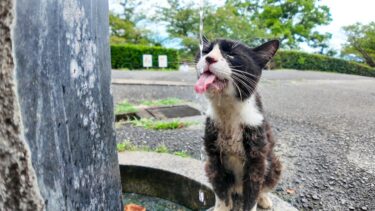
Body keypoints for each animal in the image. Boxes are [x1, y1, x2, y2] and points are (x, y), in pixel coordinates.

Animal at [197, 38, 282, 211]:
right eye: (205, 51)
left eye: (232, 54)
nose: (209, 58)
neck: (229, 110)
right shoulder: (214, 157)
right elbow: (221, 190)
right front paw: (221, 207)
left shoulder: (257, 159)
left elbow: (253, 192)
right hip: (208, 166)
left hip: (274, 164)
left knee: (263, 186)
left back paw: (264, 199)